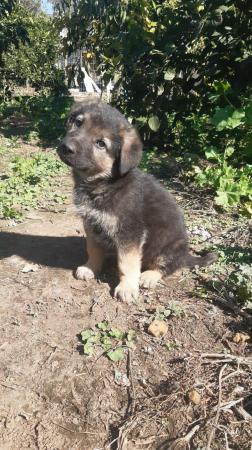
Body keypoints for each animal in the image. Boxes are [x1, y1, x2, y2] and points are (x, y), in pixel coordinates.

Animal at [57, 100, 217, 300]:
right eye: (78, 123)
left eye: (101, 143)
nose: (66, 147)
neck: (103, 183)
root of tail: (185, 254)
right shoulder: (91, 223)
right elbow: (93, 249)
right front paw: (90, 267)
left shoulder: (130, 232)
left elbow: (128, 263)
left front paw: (127, 288)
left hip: (170, 247)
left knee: (168, 266)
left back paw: (148, 276)